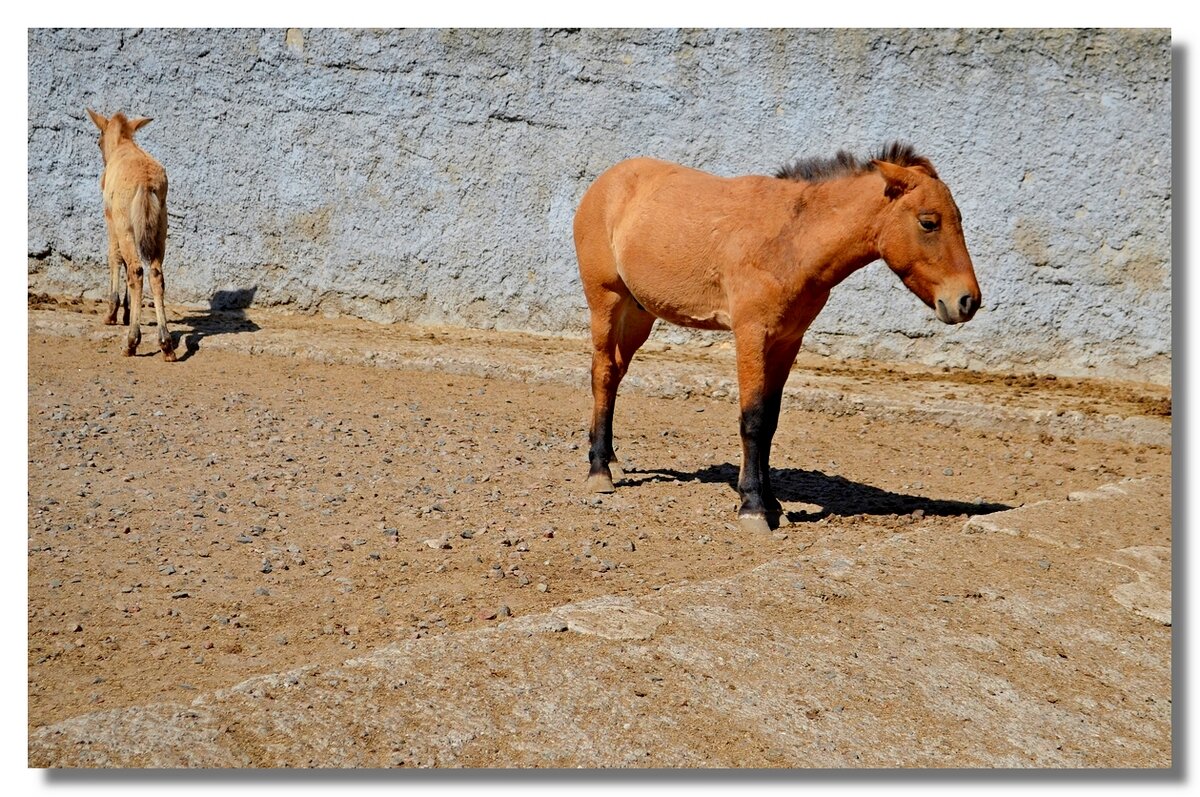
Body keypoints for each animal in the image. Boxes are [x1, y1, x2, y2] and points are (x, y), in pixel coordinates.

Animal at [85, 108, 175, 360]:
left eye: (98, 140)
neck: (123, 144)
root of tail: (146, 183)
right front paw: (125, 314)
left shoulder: (110, 219)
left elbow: (115, 258)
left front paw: (112, 314)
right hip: (160, 227)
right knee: (155, 273)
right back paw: (166, 345)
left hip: (125, 225)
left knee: (136, 269)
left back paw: (131, 342)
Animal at [573, 143, 984, 532]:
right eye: (929, 222)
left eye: (960, 219)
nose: (967, 301)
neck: (791, 243)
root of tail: (605, 182)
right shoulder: (751, 335)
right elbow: (753, 420)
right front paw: (753, 508)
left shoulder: (787, 341)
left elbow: (769, 421)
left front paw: (772, 505)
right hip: (607, 301)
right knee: (603, 374)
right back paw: (599, 472)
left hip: (639, 312)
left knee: (615, 374)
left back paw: (610, 459)